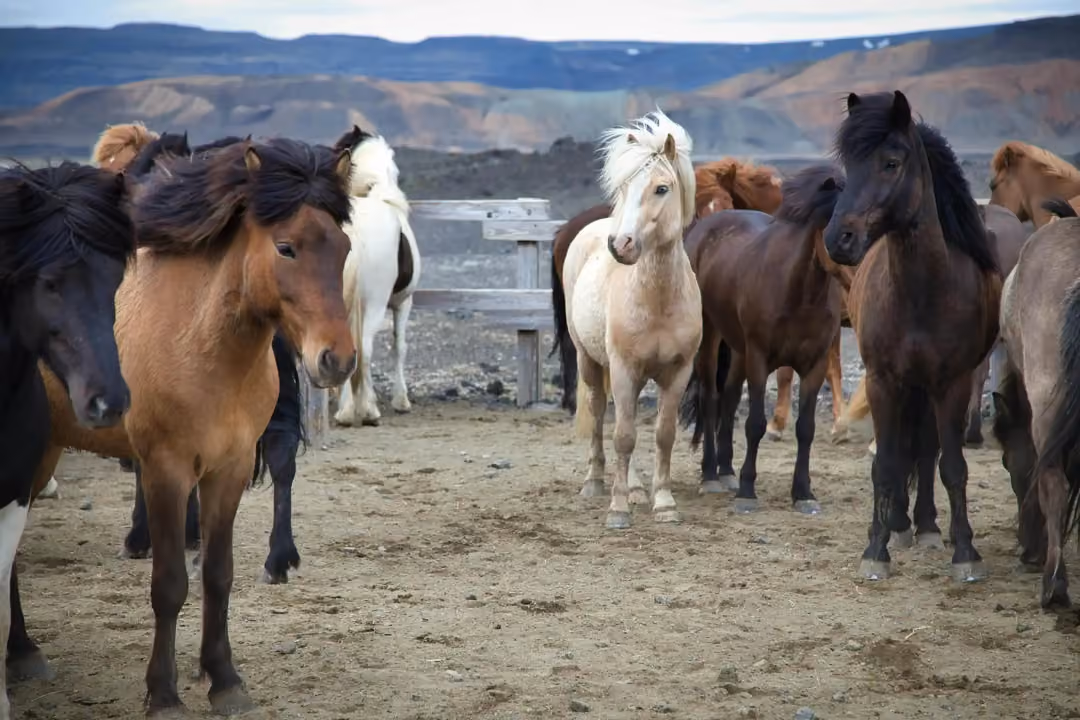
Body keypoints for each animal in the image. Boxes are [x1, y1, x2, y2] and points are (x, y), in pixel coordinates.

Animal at [25, 138, 356, 714]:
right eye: (286, 248)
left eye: (343, 247)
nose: (337, 359)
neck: (201, 344)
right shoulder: (167, 469)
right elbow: (170, 583)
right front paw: (163, 692)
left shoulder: (229, 469)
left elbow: (218, 576)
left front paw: (224, 679)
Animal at [330, 126, 421, 427]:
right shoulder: (404, 302)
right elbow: (399, 347)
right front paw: (401, 401)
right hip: (375, 305)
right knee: (365, 350)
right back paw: (368, 412)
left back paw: (345, 412)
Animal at [562, 109, 701, 529]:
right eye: (624, 188)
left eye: (661, 188)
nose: (619, 245)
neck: (658, 302)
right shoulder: (624, 369)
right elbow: (622, 436)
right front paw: (618, 509)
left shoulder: (678, 372)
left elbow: (663, 435)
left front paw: (665, 503)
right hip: (589, 361)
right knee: (598, 413)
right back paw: (595, 482)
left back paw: (640, 489)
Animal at [678, 164, 846, 511]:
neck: (799, 293)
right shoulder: (758, 357)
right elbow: (754, 423)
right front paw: (746, 491)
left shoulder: (815, 365)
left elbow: (806, 428)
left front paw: (803, 493)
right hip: (712, 338)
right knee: (711, 399)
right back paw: (711, 475)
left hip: (738, 349)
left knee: (728, 399)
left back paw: (726, 471)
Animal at [823, 90, 1001, 583]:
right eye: (848, 163)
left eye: (891, 162)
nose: (838, 238)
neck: (922, 294)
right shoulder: (883, 380)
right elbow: (885, 464)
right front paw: (876, 548)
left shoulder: (952, 383)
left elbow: (951, 466)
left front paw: (966, 552)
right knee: (905, 449)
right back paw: (900, 524)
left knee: (925, 449)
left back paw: (926, 526)